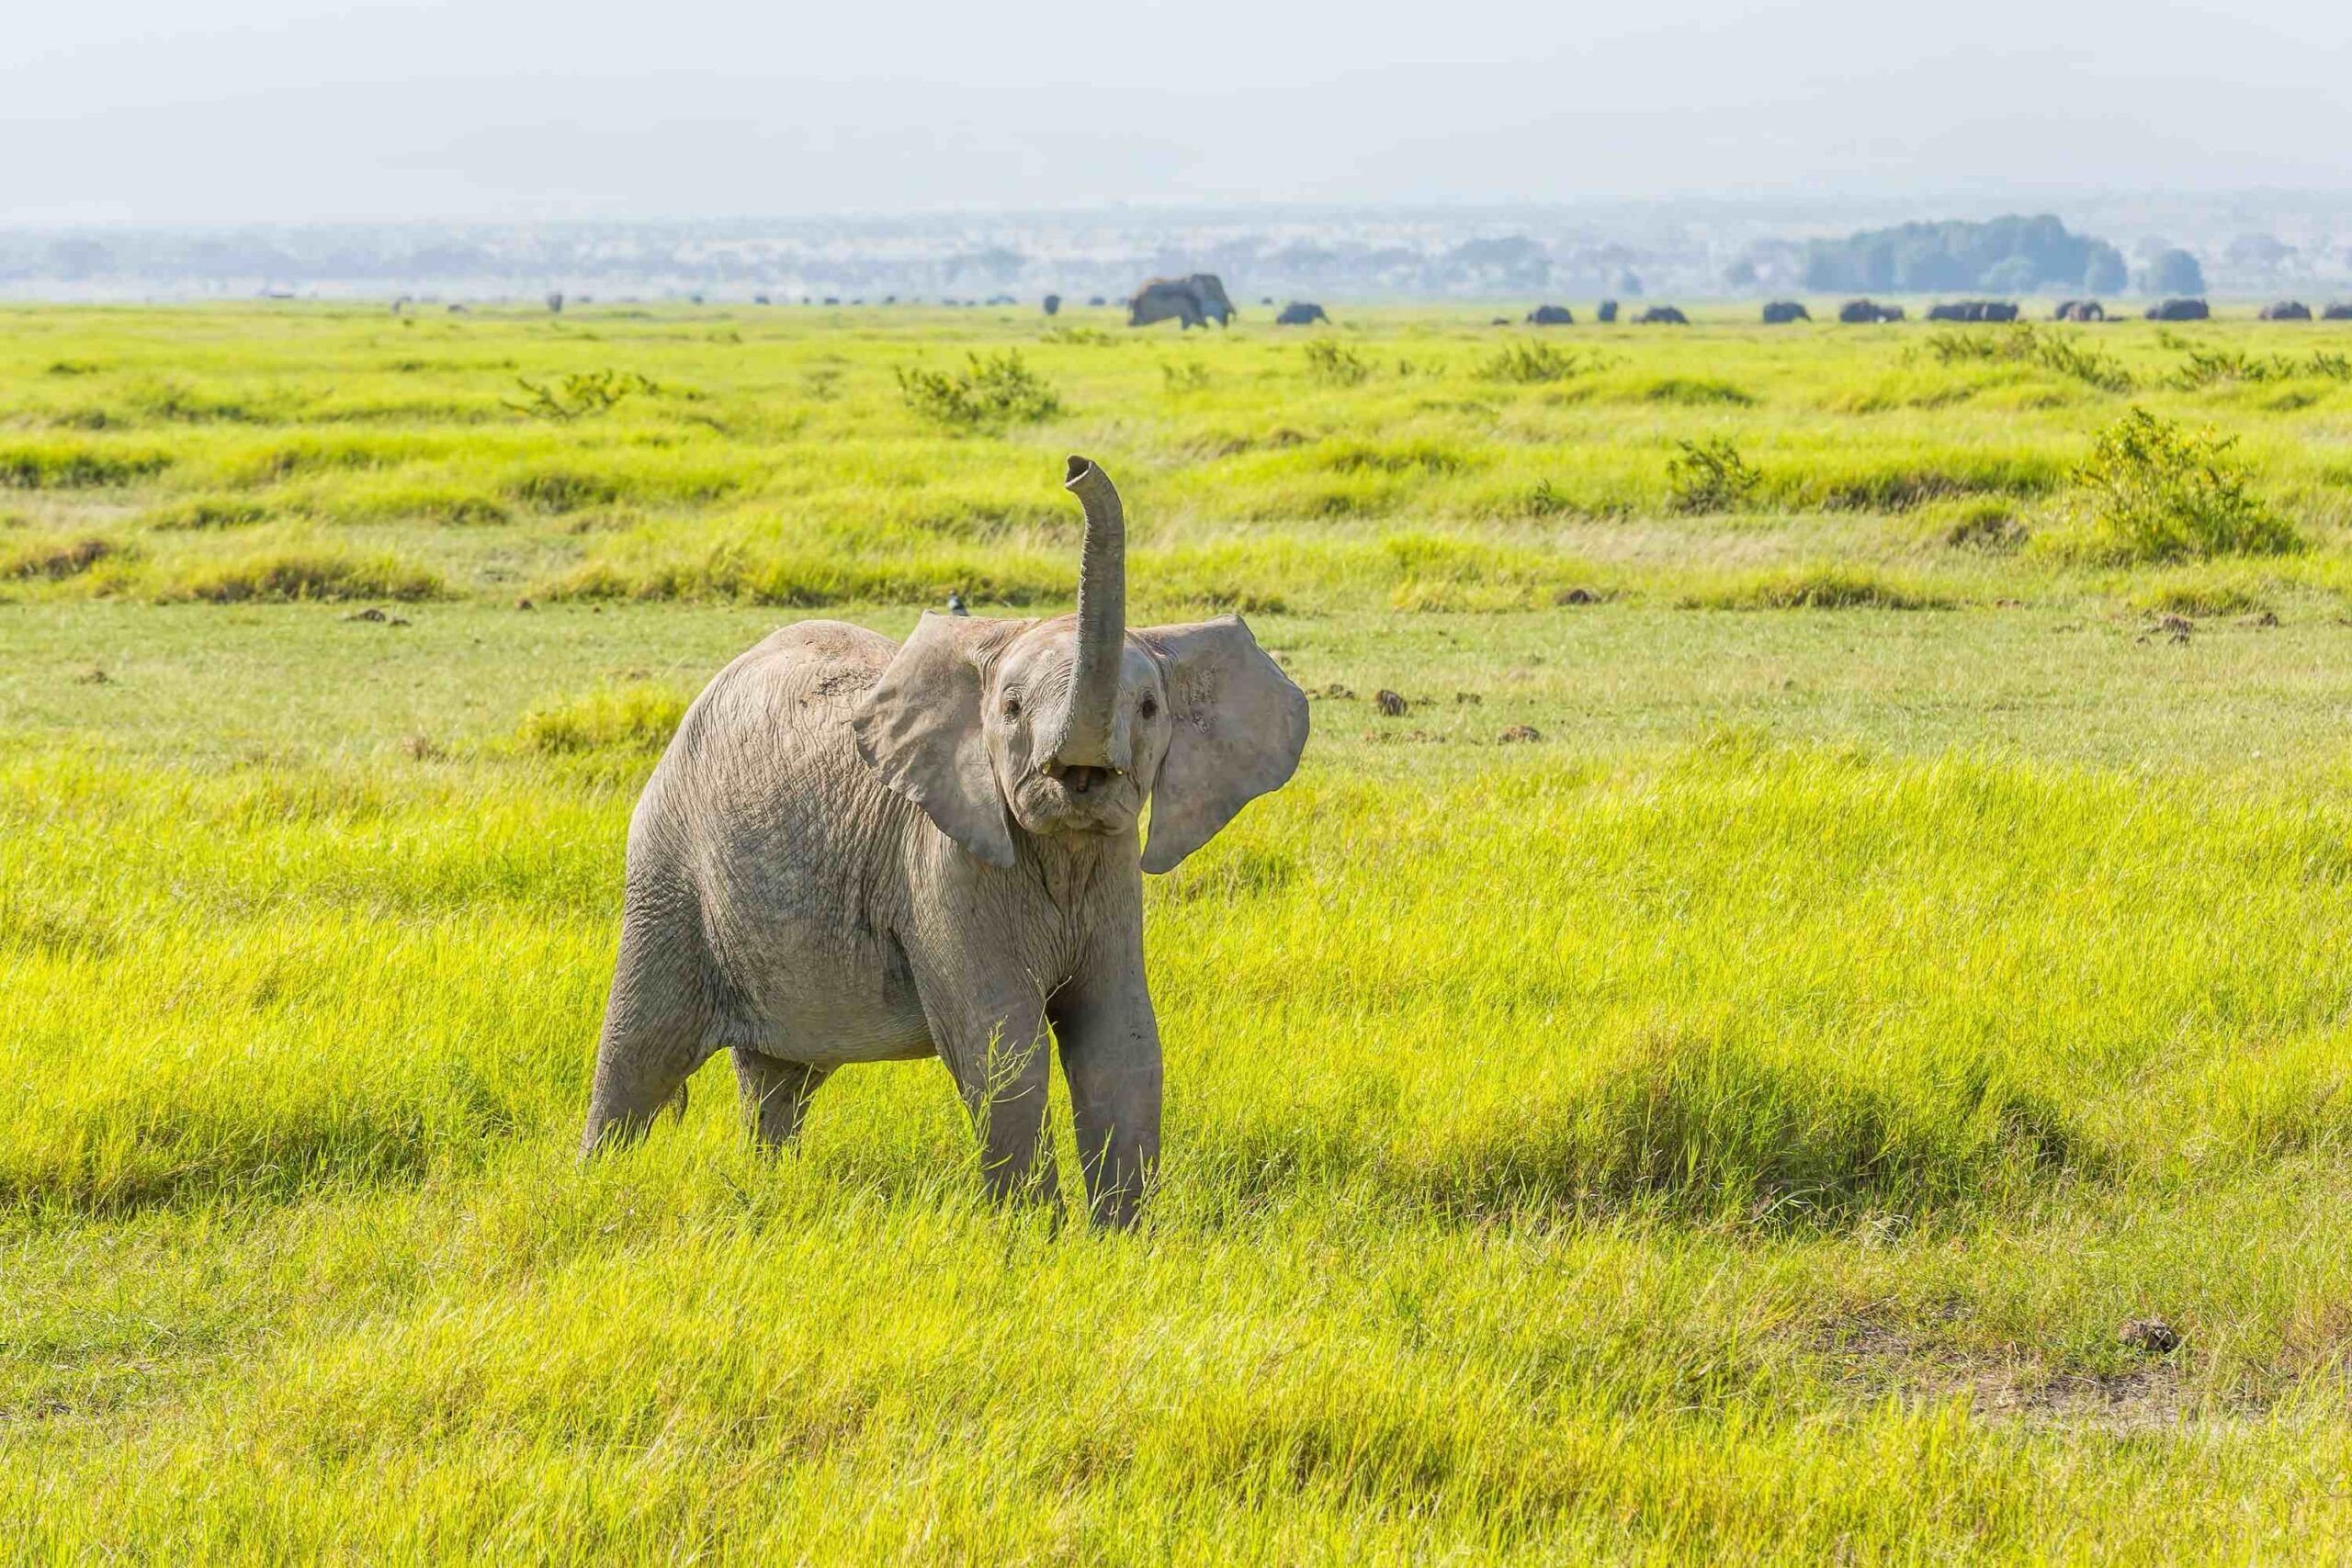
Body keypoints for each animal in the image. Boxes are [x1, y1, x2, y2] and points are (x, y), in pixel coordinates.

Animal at [571, 460, 1307, 1232]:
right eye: (1010, 708)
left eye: (1149, 709)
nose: (1073, 469)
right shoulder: (943, 868)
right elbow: (1002, 1046)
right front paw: (1035, 1239)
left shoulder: (1111, 866)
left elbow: (1120, 1042)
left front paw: (1121, 1241)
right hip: (667, 867)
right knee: (639, 1053)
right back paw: (595, 1186)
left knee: (780, 1078)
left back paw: (768, 1184)